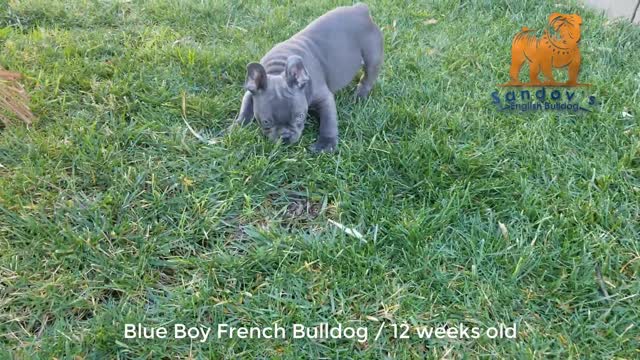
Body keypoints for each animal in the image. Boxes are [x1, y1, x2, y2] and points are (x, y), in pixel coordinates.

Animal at [236, 3, 382, 152]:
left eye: (300, 117)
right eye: (266, 122)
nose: (285, 137)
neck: (278, 69)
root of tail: (360, 9)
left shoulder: (324, 98)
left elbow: (328, 121)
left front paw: (326, 144)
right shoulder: (250, 92)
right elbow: (245, 110)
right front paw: (236, 128)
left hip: (372, 56)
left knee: (368, 77)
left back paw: (359, 96)